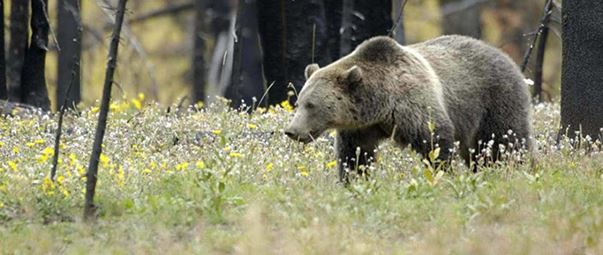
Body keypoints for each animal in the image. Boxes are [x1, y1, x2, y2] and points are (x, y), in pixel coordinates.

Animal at [286, 35, 532, 181]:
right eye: (298, 103)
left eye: (311, 105)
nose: (291, 131)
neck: (381, 104)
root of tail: (505, 56)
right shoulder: (361, 127)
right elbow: (355, 155)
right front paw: (354, 179)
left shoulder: (413, 105)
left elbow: (435, 141)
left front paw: (443, 174)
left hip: (496, 100)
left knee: (505, 142)